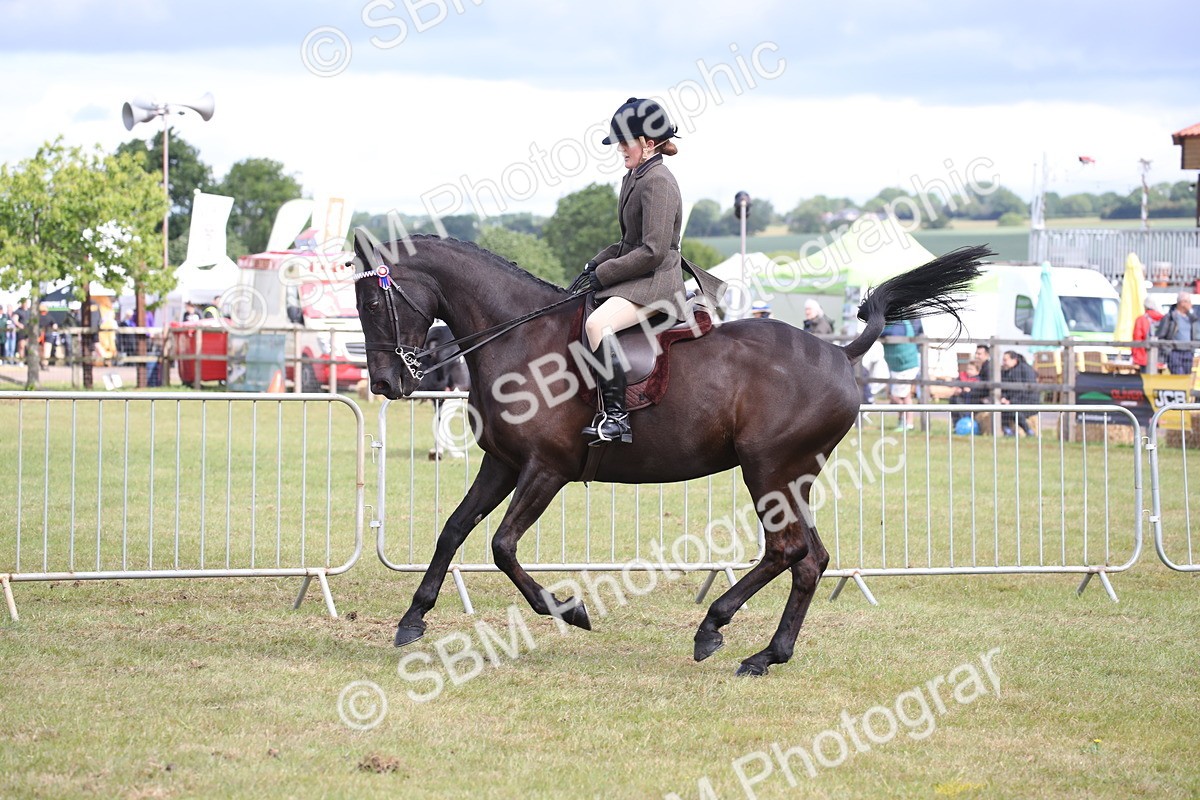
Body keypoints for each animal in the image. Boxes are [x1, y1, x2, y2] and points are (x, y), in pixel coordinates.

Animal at [351, 230, 987, 676]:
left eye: (373, 303)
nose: (384, 383)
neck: (519, 337)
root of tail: (838, 353)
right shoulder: (503, 462)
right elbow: (454, 530)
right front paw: (413, 619)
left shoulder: (546, 468)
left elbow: (502, 546)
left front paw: (569, 610)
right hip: (791, 479)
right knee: (809, 558)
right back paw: (766, 654)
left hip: (769, 470)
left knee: (786, 551)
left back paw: (716, 628)